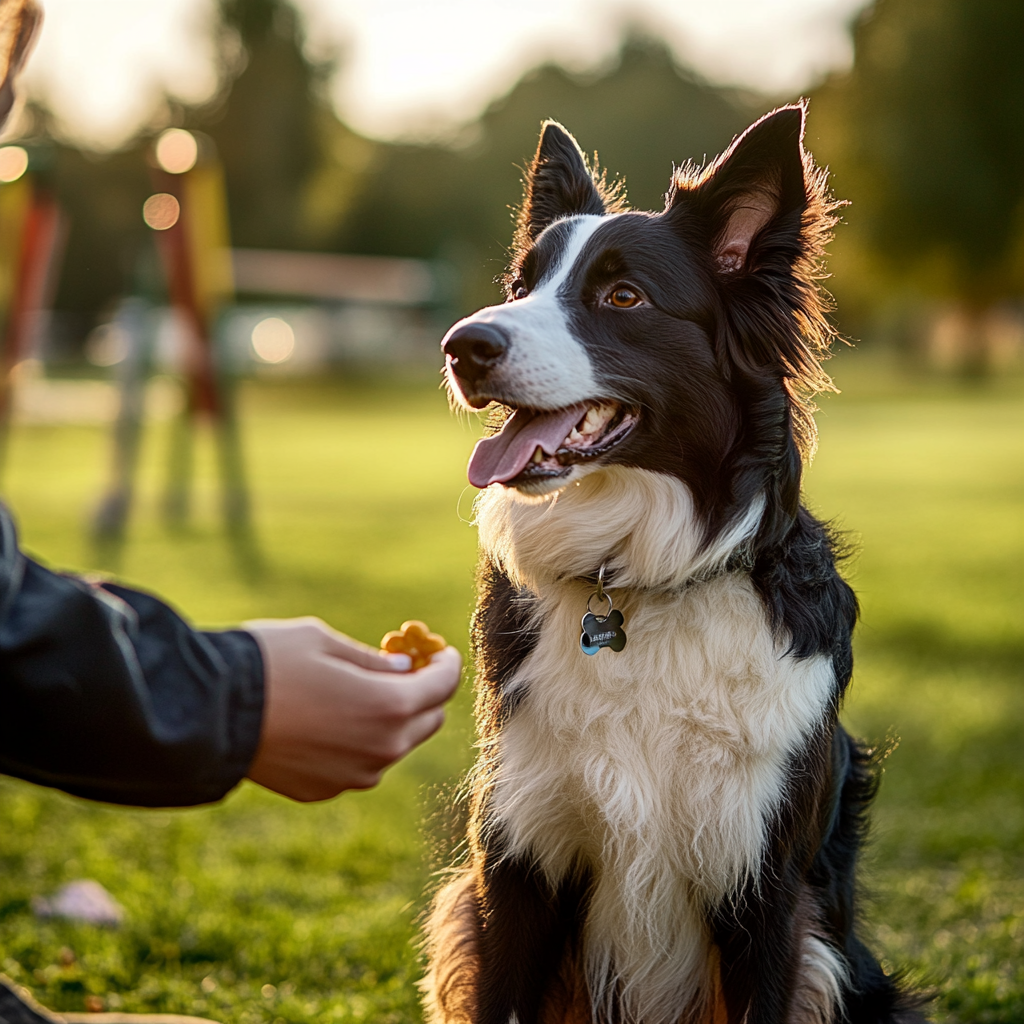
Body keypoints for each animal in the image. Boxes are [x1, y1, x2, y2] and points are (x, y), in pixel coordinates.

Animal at [428, 101, 925, 1024]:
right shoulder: (518, 866)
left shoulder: (764, 889)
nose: (460, 346)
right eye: (520, 288)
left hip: (833, 964)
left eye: (622, 296)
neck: (635, 584)